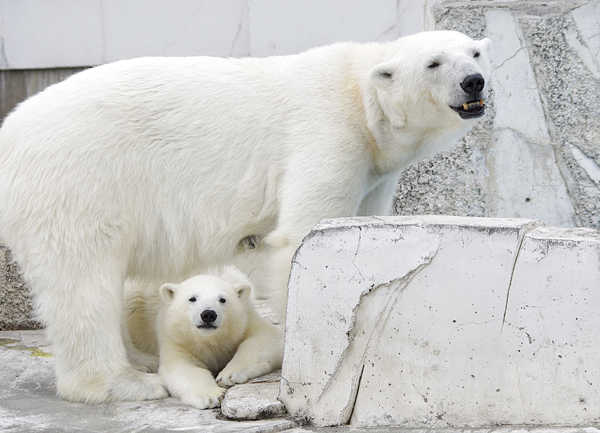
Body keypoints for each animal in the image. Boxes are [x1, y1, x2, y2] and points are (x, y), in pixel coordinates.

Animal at [125, 266, 284, 408]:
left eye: (222, 299)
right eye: (192, 298)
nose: (208, 314)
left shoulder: (245, 318)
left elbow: (267, 338)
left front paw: (229, 374)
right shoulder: (175, 335)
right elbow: (182, 367)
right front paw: (212, 396)